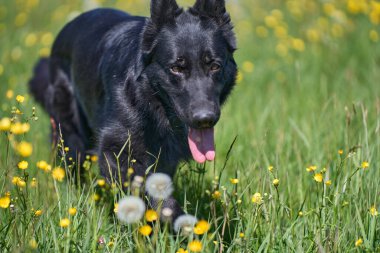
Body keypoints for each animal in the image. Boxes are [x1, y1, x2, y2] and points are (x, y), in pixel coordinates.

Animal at [29, 0, 236, 223]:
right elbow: (155, 196)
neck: (151, 106)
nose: (205, 119)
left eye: (214, 66)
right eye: (176, 69)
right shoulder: (116, 153)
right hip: (72, 139)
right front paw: (181, 224)